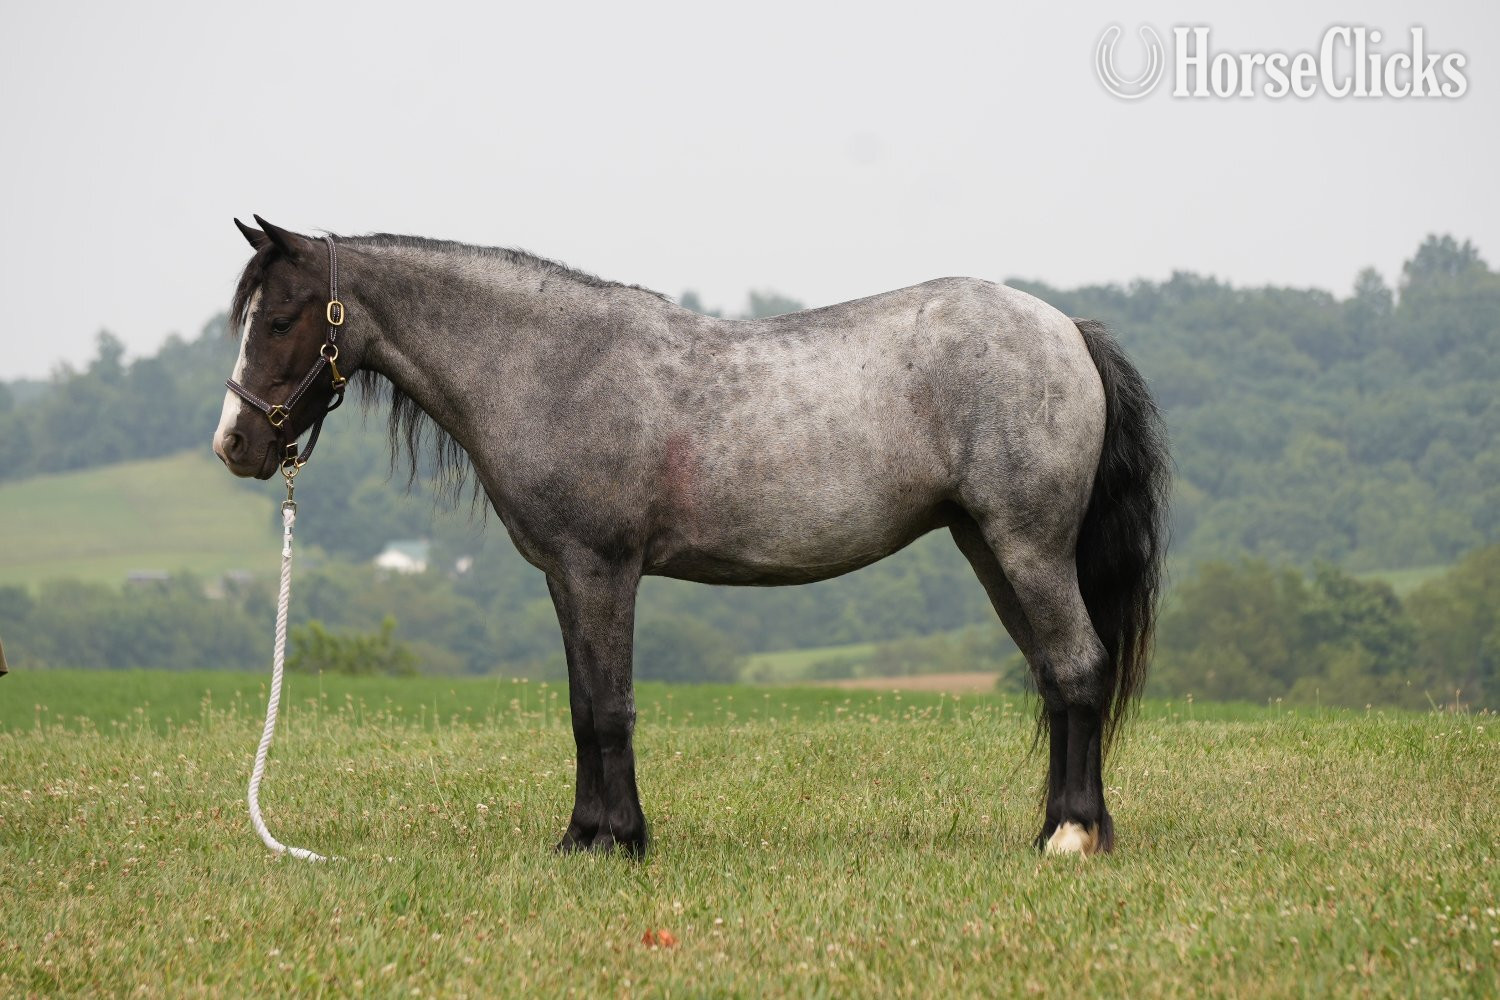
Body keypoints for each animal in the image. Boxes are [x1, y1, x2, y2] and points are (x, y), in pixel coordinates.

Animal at [212, 216, 1169, 858]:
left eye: (284, 317)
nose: (235, 445)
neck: (554, 365)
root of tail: (1065, 329)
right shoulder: (566, 576)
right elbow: (583, 706)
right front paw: (585, 837)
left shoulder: (601, 570)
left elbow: (609, 708)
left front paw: (618, 840)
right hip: (989, 549)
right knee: (1055, 677)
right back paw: (1056, 829)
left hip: (1028, 547)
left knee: (1078, 667)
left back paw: (1073, 837)